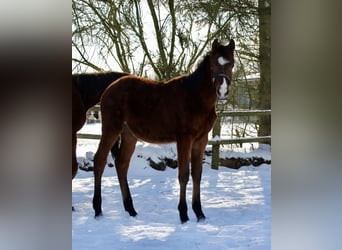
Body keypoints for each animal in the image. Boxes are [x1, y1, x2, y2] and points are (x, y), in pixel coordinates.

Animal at [92, 39, 234, 223]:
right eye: (214, 64)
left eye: (231, 63)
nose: (222, 91)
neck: (195, 97)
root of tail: (109, 89)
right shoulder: (184, 139)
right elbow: (183, 175)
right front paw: (183, 215)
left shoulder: (201, 139)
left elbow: (197, 174)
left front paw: (199, 213)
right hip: (111, 129)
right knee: (100, 160)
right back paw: (98, 210)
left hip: (129, 135)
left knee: (121, 164)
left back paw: (131, 209)